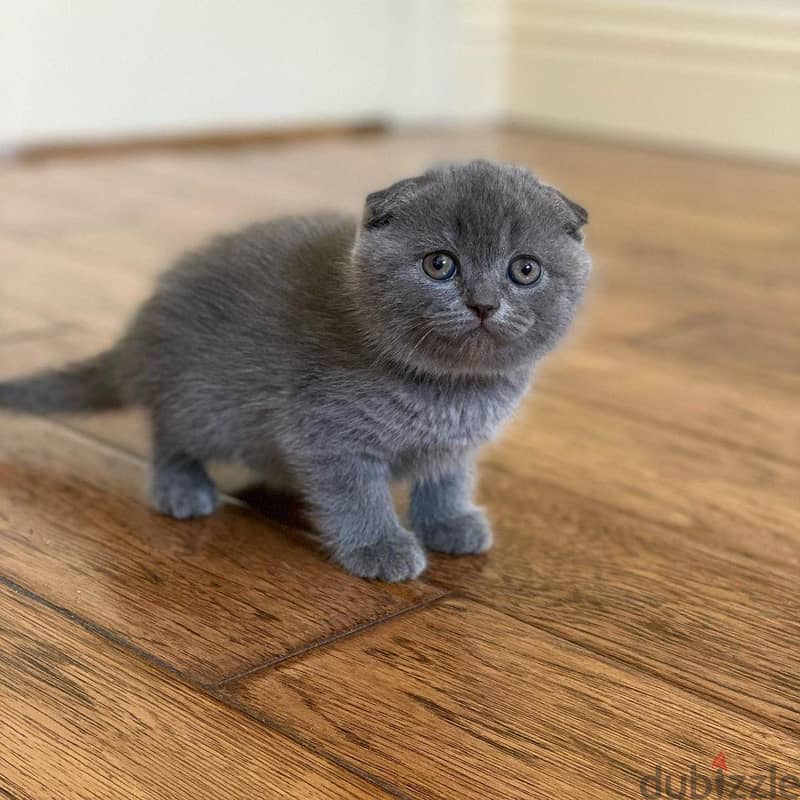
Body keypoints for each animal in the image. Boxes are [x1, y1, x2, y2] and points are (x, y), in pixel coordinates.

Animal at [0, 159, 588, 580]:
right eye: (439, 264)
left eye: (525, 270)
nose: (484, 303)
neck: (450, 390)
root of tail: (140, 332)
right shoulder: (327, 433)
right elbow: (356, 495)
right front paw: (379, 546)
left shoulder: (454, 444)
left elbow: (445, 479)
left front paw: (448, 522)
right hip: (202, 403)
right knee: (169, 435)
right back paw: (180, 488)